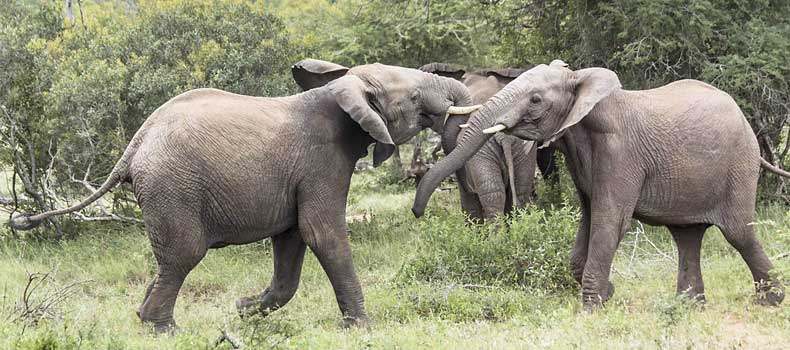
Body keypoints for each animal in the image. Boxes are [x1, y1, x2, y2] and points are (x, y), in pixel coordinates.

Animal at [9, 58, 476, 332]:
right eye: (414, 97)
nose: (418, 213)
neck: (341, 89)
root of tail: (135, 145)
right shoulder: (321, 163)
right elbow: (321, 233)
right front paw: (361, 328)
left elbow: (292, 238)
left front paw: (244, 308)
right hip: (172, 188)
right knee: (183, 255)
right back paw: (165, 331)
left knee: (169, 261)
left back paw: (142, 320)